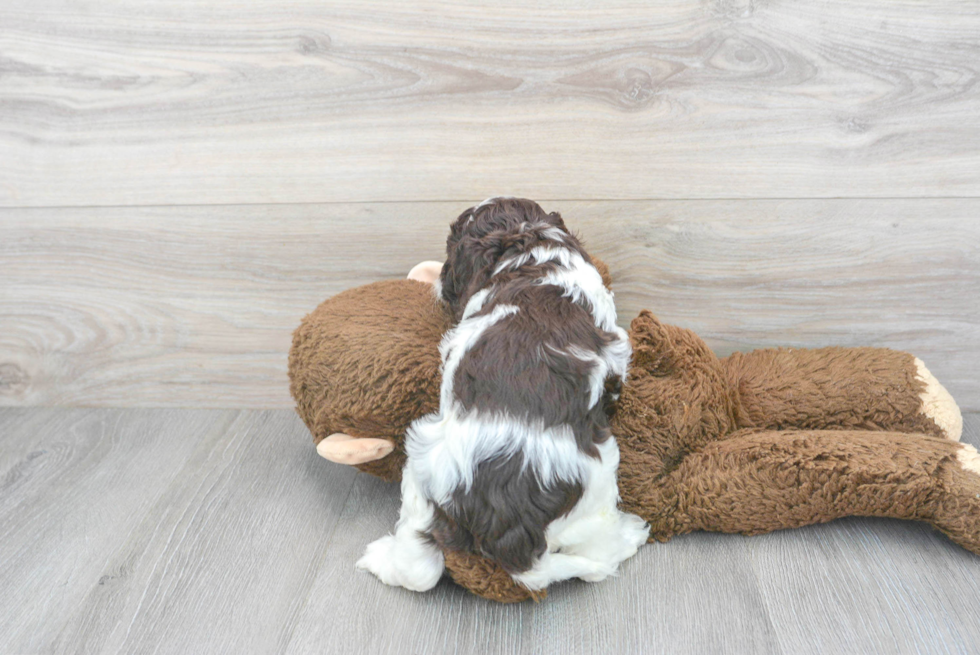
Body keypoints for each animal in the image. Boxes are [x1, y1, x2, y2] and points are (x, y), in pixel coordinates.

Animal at [356, 197, 648, 592]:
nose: (441, 280)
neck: (534, 250)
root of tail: (513, 535)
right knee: (596, 560)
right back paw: (631, 533)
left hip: (422, 461)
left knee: (420, 565)